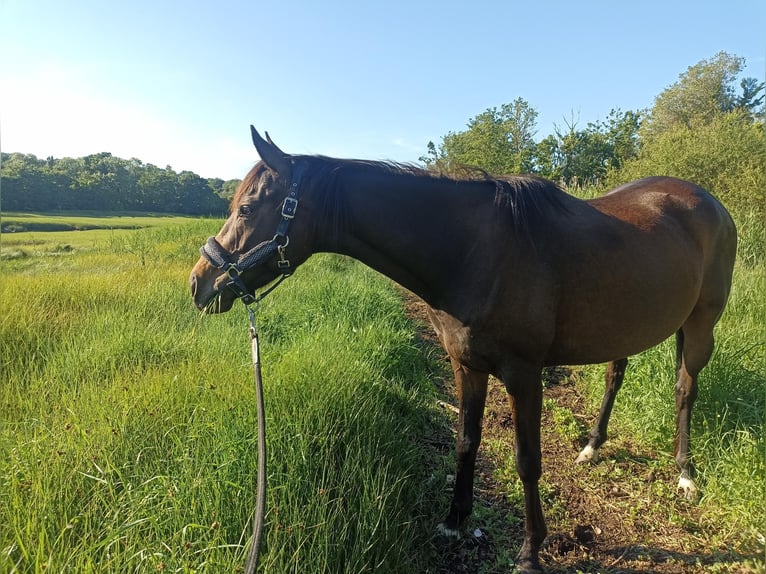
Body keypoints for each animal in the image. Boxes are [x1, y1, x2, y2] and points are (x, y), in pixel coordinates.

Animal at [190, 126, 737, 573]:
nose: (199, 284)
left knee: (685, 389)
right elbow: (466, 441)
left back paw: (685, 474)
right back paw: (593, 446)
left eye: (246, 208)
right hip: (627, 325)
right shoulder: (466, 366)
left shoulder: (523, 374)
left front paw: (531, 551)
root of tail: (710, 202)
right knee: (614, 375)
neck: (473, 252)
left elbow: (527, 460)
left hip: (701, 325)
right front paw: (455, 519)